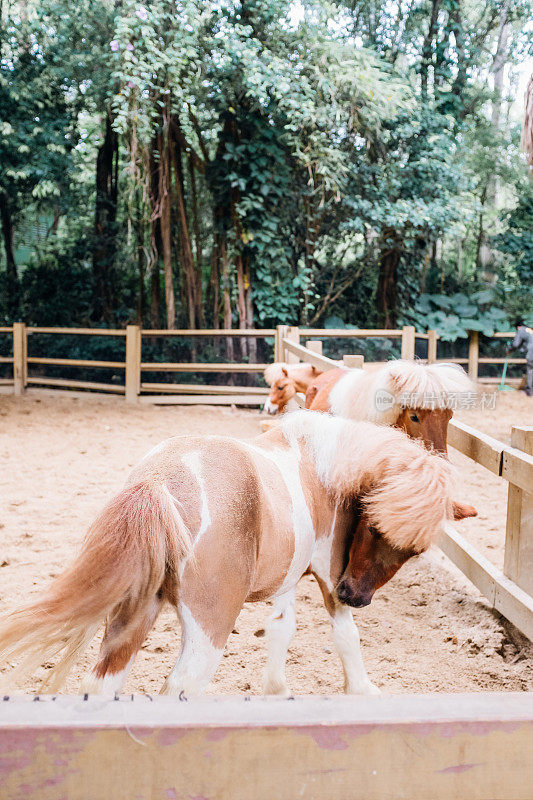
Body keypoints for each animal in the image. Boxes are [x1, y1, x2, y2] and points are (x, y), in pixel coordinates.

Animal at [0, 412, 454, 692]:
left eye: (415, 551)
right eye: (374, 527)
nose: (355, 596)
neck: (325, 469)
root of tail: (161, 481)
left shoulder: (291, 578)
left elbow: (281, 628)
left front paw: (277, 691)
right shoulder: (328, 576)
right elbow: (346, 636)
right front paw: (362, 689)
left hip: (133, 616)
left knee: (102, 683)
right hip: (208, 630)